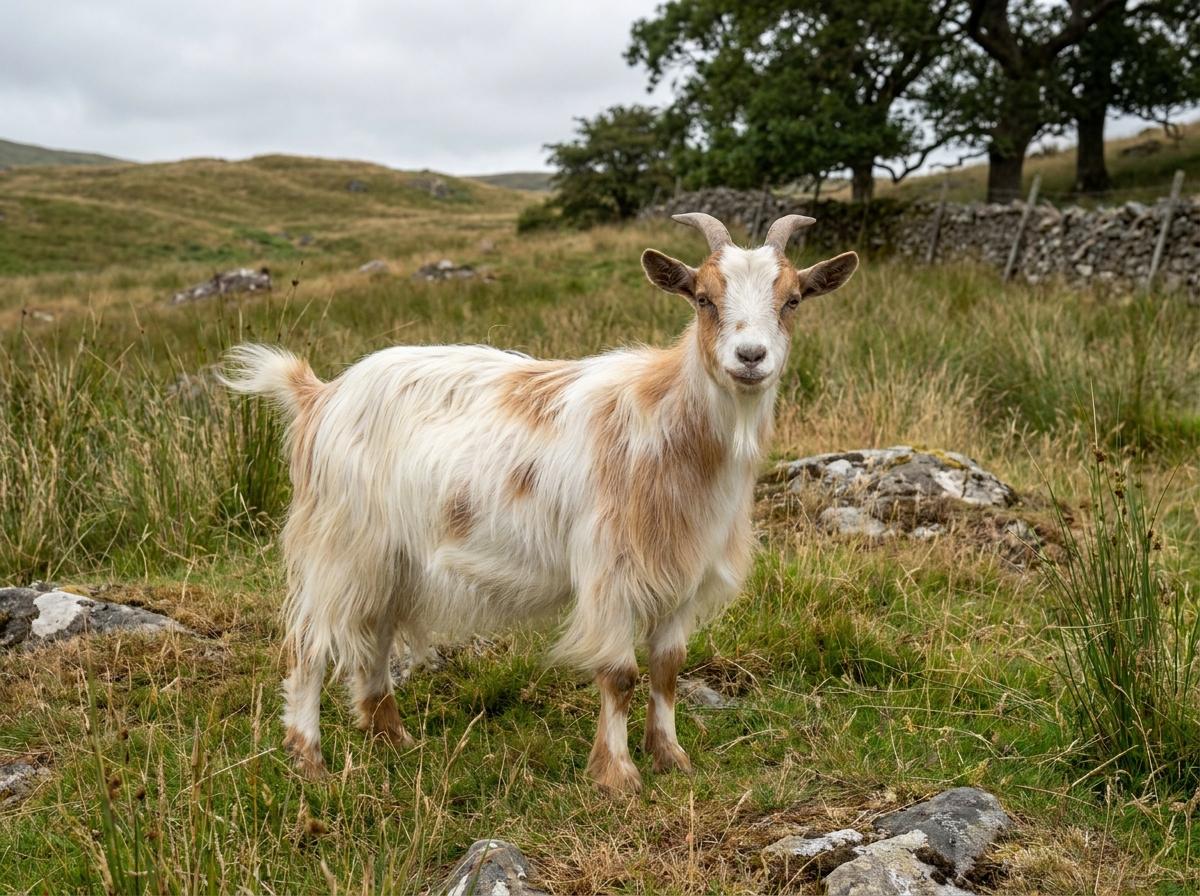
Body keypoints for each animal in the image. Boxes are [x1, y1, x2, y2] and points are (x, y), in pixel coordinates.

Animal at [221, 213, 858, 791]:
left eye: (793, 300)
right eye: (702, 298)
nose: (750, 357)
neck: (668, 425)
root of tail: (320, 395)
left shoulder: (684, 568)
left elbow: (668, 668)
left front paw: (671, 758)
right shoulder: (608, 570)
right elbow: (619, 673)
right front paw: (618, 776)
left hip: (393, 558)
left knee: (374, 635)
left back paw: (392, 738)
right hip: (341, 544)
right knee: (309, 643)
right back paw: (310, 761)